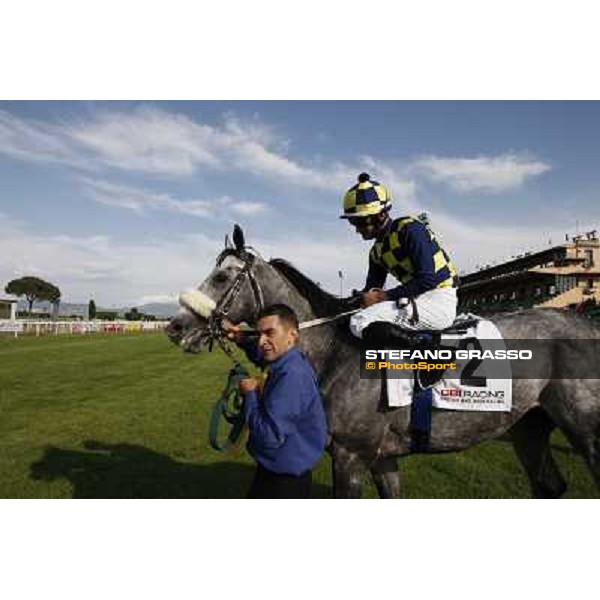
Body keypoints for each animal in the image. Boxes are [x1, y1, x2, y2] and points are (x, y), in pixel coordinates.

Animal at [165, 225, 600, 496]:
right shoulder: (382, 459)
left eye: (222, 277)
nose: (175, 326)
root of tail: (585, 323)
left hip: (586, 431)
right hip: (529, 427)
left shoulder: (350, 455)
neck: (334, 352)